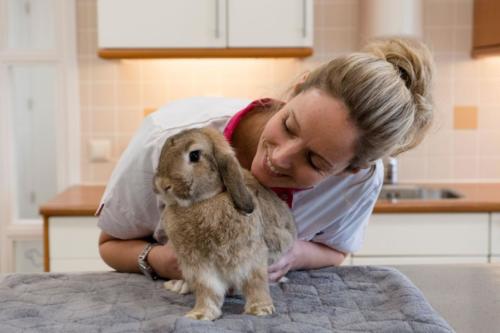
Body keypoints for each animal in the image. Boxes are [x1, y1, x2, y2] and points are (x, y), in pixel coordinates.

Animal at [153, 125, 296, 320]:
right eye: (162, 153)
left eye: (194, 155)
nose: (163, 185)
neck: (202, 202)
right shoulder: (200, 269)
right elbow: (207, 292)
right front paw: (200, 314)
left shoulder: (252, 259)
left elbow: (256, 284)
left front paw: (260, 309)